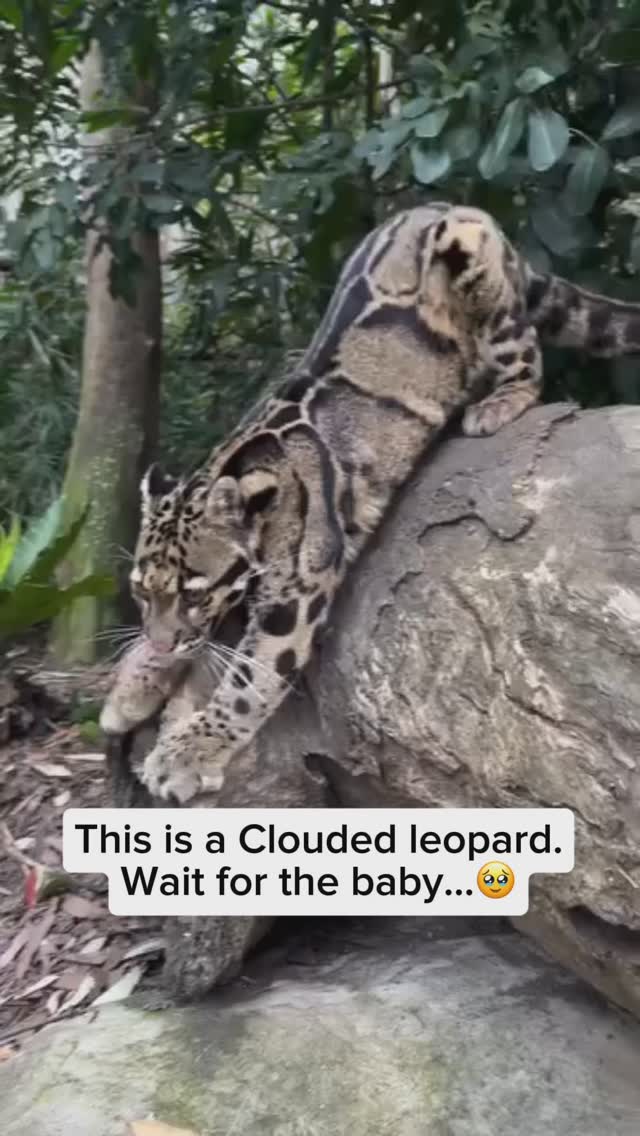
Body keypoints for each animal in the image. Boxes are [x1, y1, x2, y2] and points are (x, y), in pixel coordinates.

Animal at [99, 201, 640, 803]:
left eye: (194, 594)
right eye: (141, 592)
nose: (161, 643)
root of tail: (448, 206)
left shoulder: (297, 595)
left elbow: (249, 680)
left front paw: (188, 751)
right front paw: (136, 682)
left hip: (473, 261)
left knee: (524, 350)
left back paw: (501, 401)